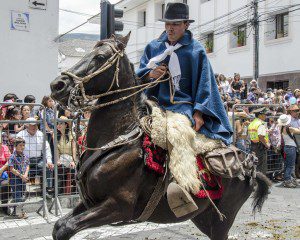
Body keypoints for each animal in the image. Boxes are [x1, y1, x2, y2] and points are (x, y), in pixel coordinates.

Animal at [50, 33, 270, 240]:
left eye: (100, 57)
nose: (57, 85)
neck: (117, 142)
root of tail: (249, 165)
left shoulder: (118, 206)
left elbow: (66, 227)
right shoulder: (90, 202)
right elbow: (59, 226)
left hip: (221, 220)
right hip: (203, 217)